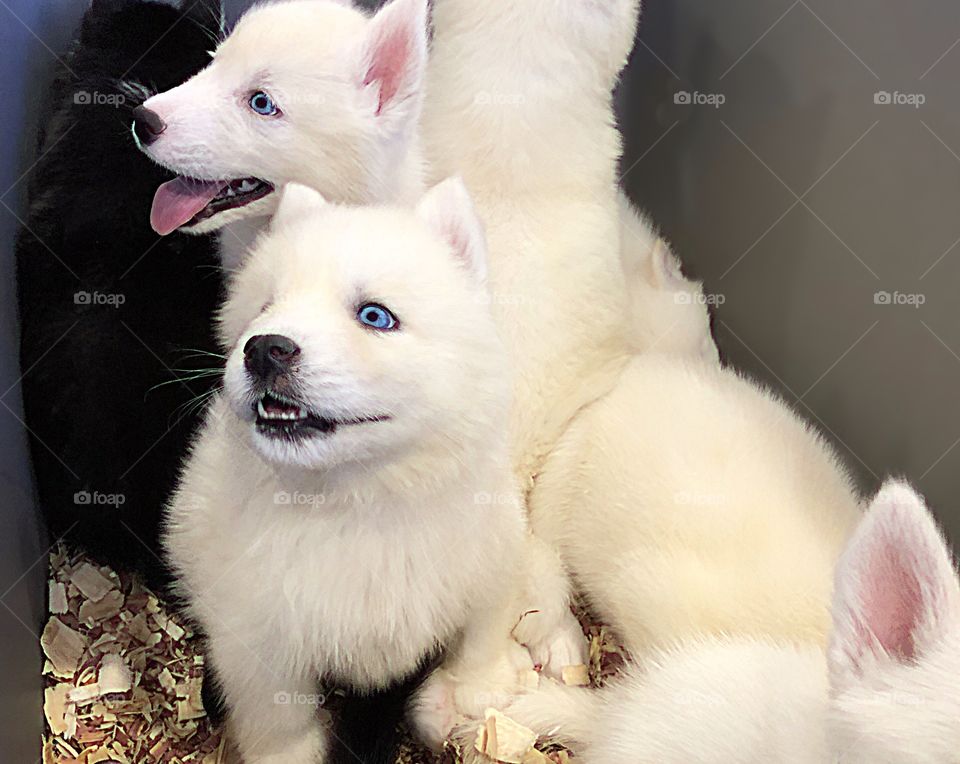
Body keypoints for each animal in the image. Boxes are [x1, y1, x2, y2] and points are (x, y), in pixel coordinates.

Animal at [161, 181, 528, 764]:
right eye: (265, 307)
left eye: (375, 316)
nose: (264, 348)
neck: (361, 503)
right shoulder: (258, 637)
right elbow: (277, 714)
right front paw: (286, 755)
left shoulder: (492, 562)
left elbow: (482, 630)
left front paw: (479, 688)